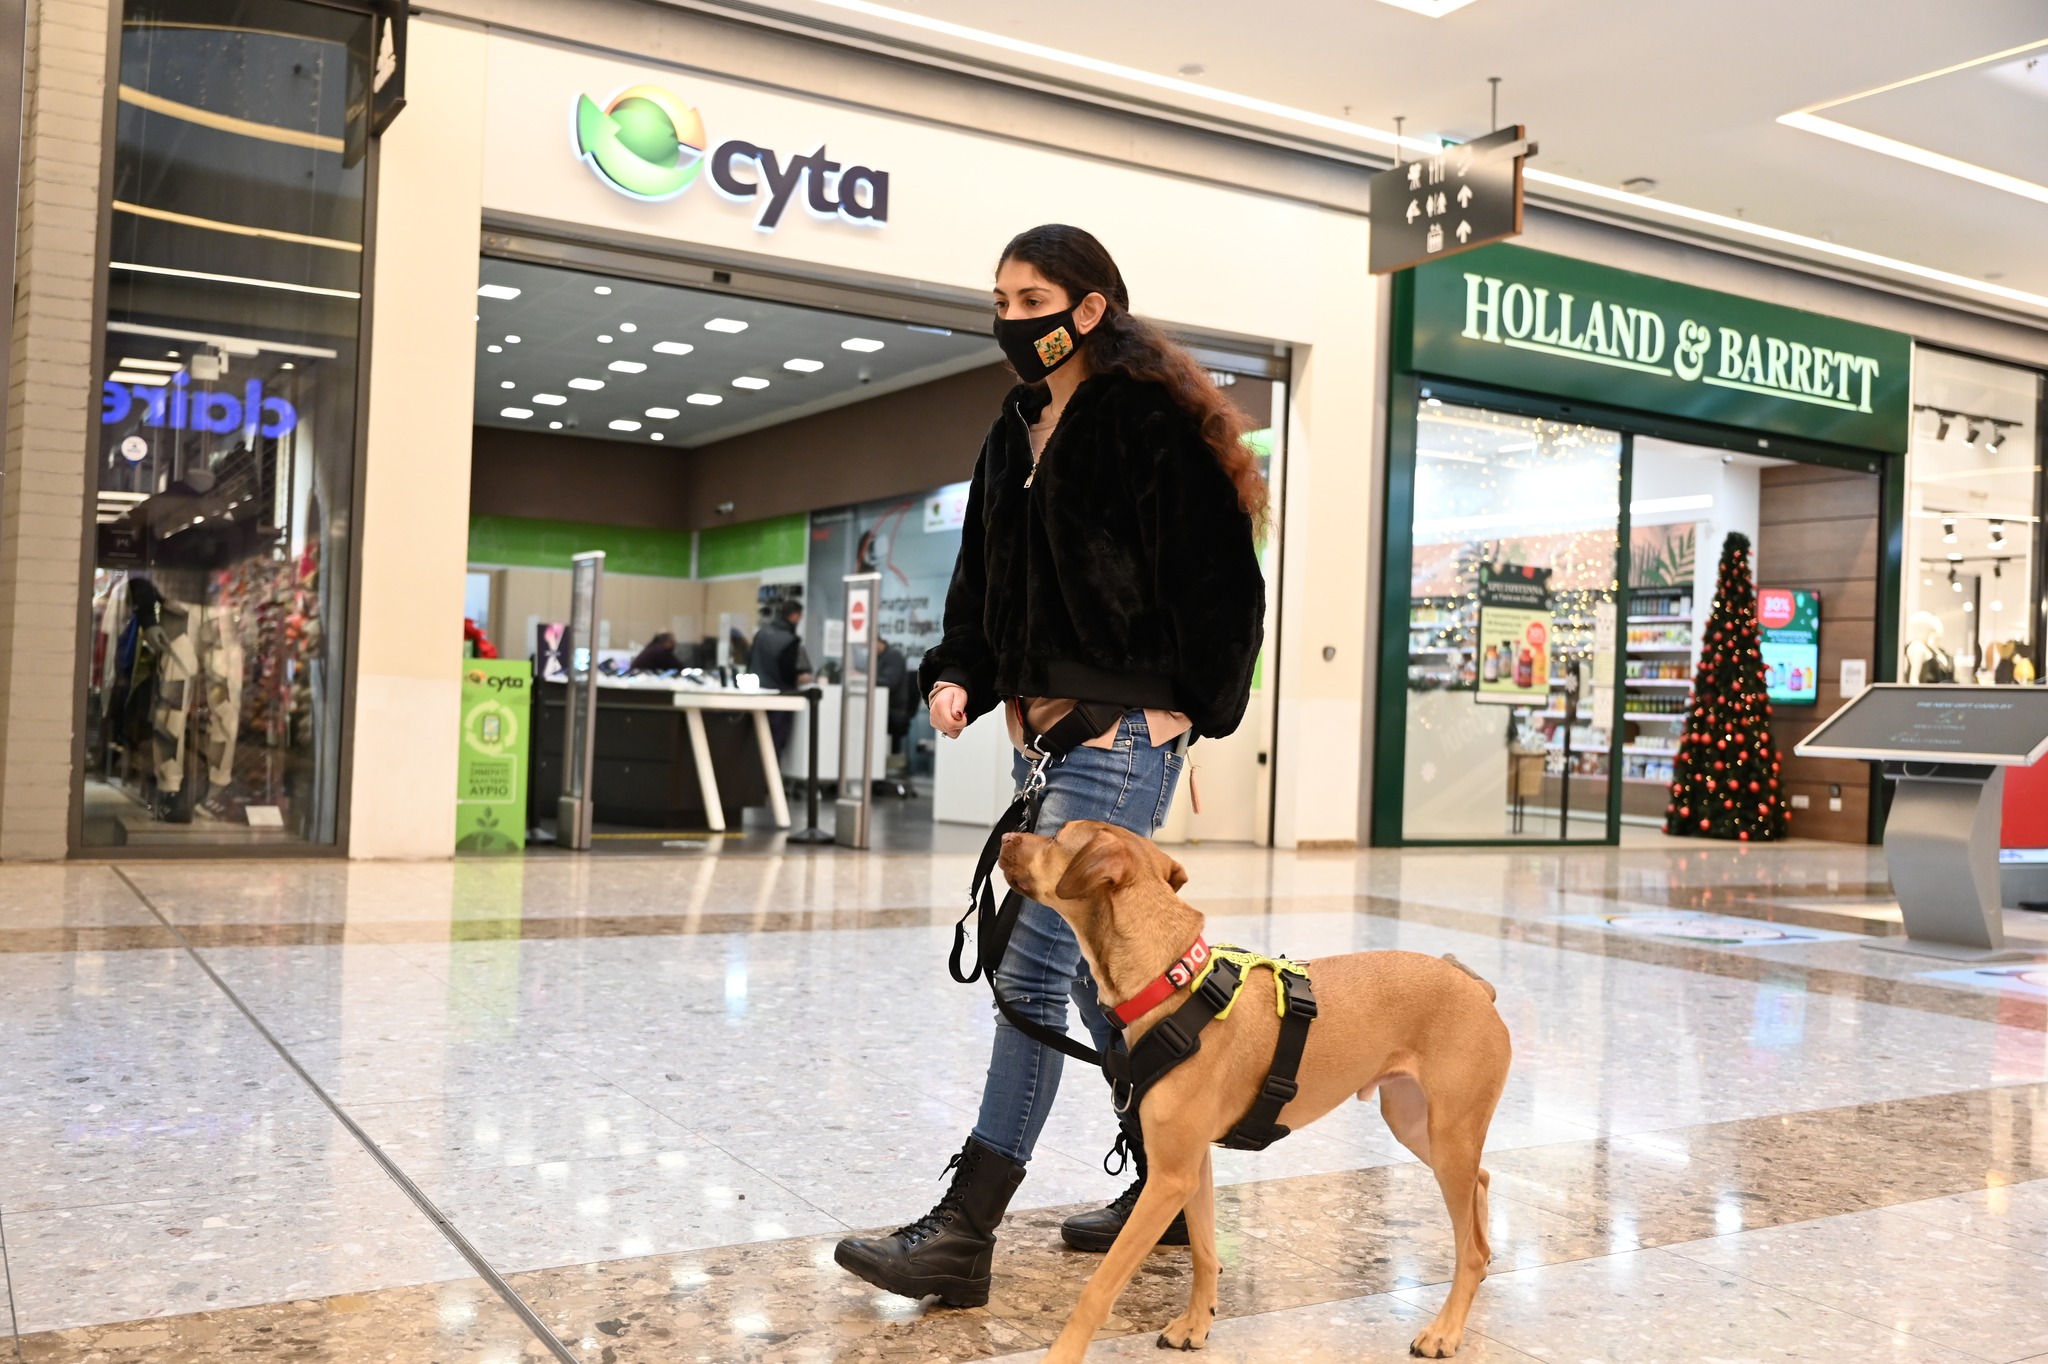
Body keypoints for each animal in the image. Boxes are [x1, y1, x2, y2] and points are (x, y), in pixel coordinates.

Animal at [999, 811, 1515, 1351]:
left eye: (1056, 836)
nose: (1007, 835)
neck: (1168, 982)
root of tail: (1475, 986)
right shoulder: (1191, 1166)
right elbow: (1204, 1251)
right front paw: (1197, 1322)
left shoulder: (1169, 1177)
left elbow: (1098, 1289)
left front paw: (1064, 1352)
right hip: (1416, 1124)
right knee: (1480, 1188)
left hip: (1449, 1134)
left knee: (1470, 1246)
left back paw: (1445, 1330)